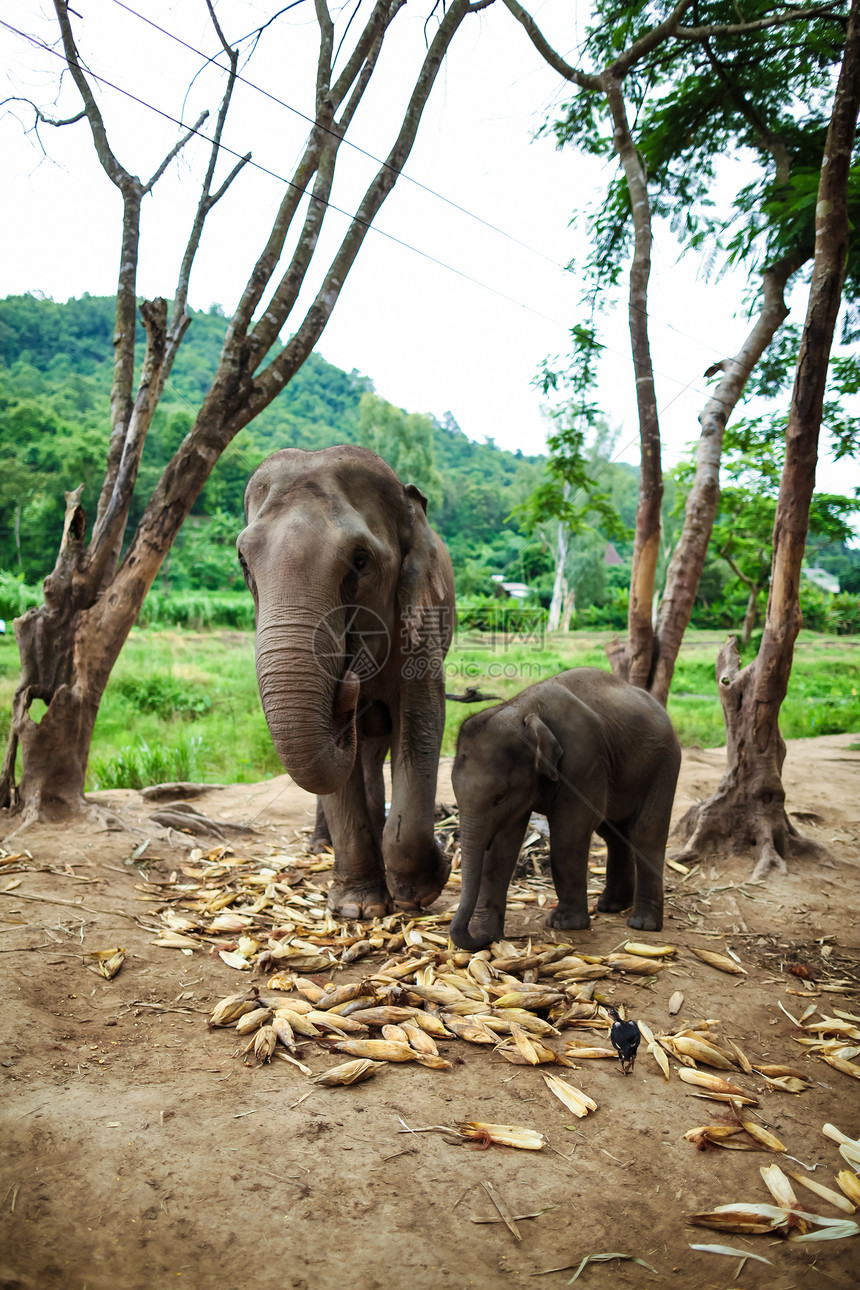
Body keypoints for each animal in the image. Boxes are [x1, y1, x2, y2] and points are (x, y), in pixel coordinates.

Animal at [232, 448, 453, 923]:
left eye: (361, 560)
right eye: (243, 561)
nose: (349, 681)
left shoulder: (420, 622)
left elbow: (421, 722)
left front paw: (424, 889)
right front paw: (359, 909)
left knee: (372, 750)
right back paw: (321, 845)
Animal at [451, 670, 680, 954]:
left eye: (499, 797)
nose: (481, 939)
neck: (524, 708)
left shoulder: (584, 760)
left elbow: (568, 834)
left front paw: (564, 924)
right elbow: (504, 846)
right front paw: (488, 933)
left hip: (664, 765)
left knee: (646, 835)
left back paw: (642, 923)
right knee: (614, 835)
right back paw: (610, 906)